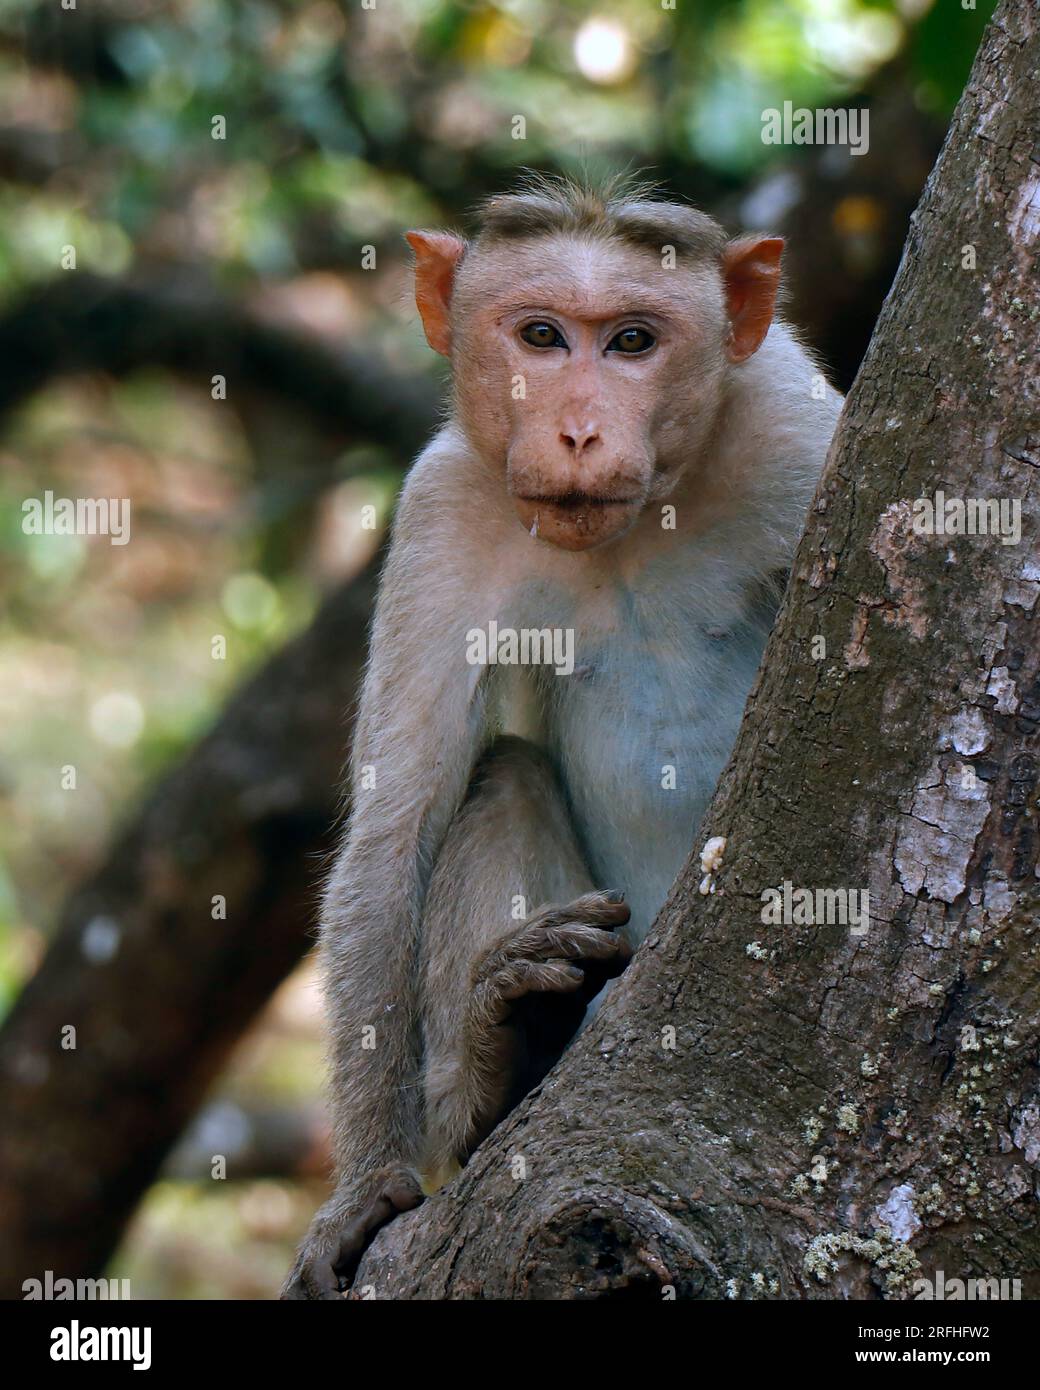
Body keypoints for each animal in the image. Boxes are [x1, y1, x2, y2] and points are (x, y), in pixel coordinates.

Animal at [282, 174, 843, 1298]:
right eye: (541, 336)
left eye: (631, 341)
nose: (578, 431)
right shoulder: (446, 504)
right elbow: (394, 830)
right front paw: (362, 1190)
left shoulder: (794, 428)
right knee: (505, 776)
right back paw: (502, 1054)